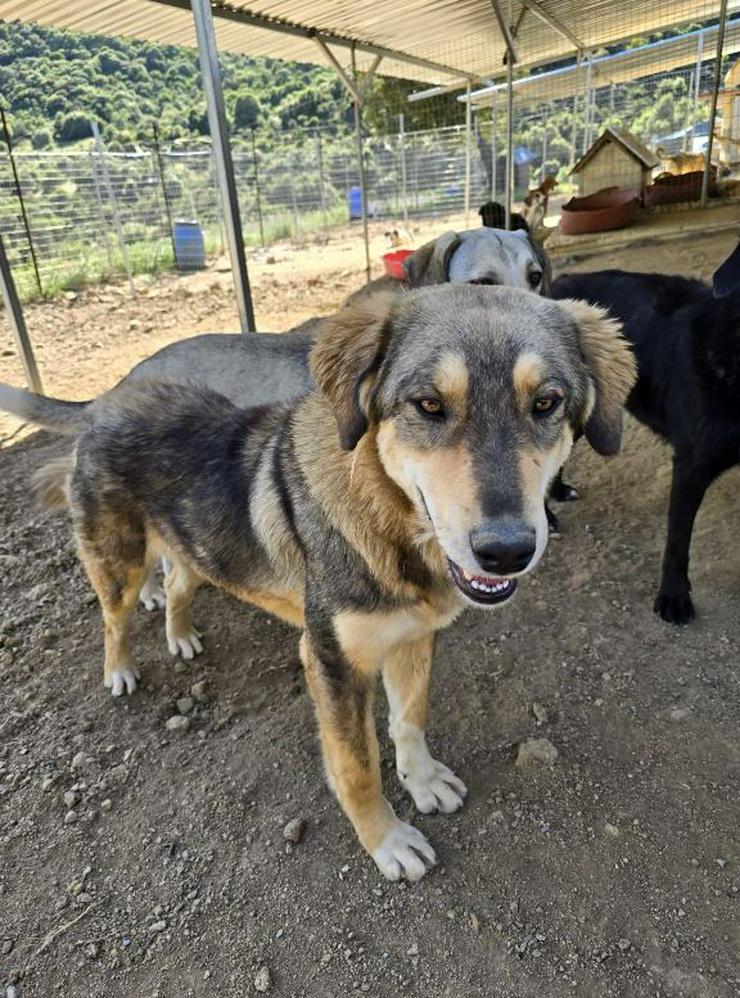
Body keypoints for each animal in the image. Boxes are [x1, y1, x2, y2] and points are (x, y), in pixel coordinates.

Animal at [0, 288, 636, 884]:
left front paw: (423, 779)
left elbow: (409, 720)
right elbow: (356, 767)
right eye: (429, 405)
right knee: (115, 617)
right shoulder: (330, 658)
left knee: (179, 582)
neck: (390, 523)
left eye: (546, 403)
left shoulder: (413, 637)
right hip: (120, 560)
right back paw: (121, 669)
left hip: (197, 546)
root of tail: (106, 400)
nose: (506, 551)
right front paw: (386, 840)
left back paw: (179, 634)